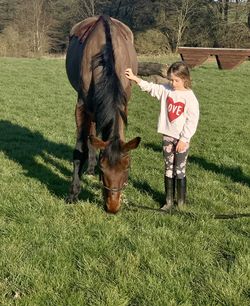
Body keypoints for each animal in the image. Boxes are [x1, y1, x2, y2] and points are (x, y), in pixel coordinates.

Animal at [65, 15, 141, 214]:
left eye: (128, 167)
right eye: (102, 168)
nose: (113, 206)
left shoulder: (123, 105)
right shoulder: (82, 107)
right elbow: (80, 149)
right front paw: (73, 193)